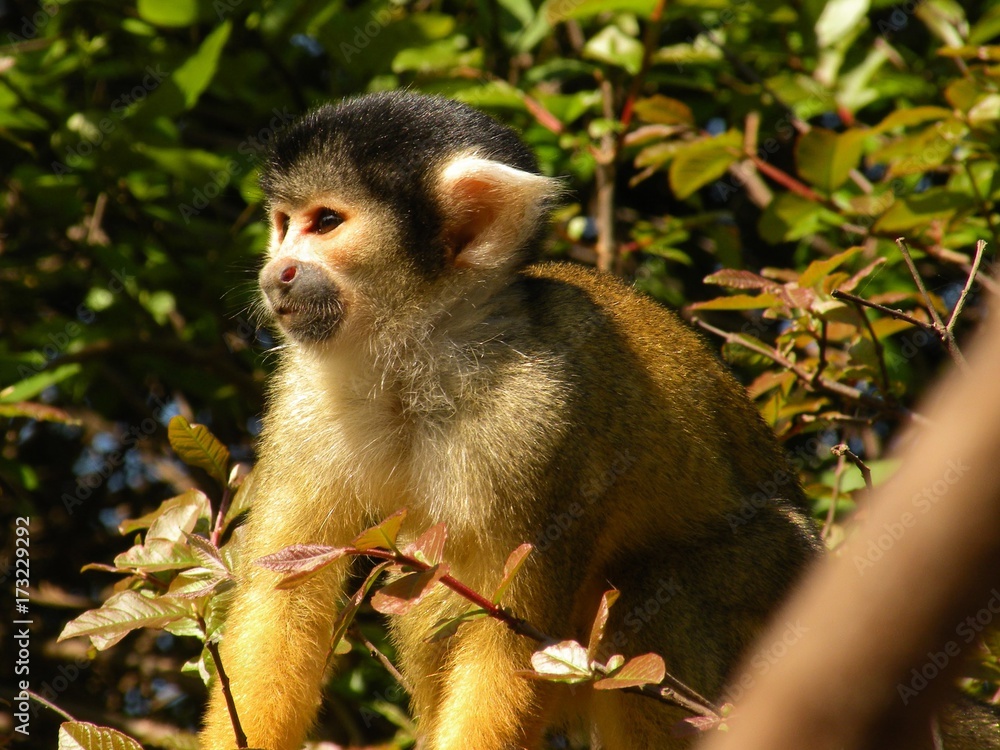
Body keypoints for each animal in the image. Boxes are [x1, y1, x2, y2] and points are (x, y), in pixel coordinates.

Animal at [199, 91, 820, 750]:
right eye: (283, 224)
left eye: (325, 223)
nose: (278, 271)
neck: (416, 360)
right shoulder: (304, 395)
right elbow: (283, 597)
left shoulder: (538, 418)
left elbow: (508, 643)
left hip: (779, 591)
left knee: (656, 588)